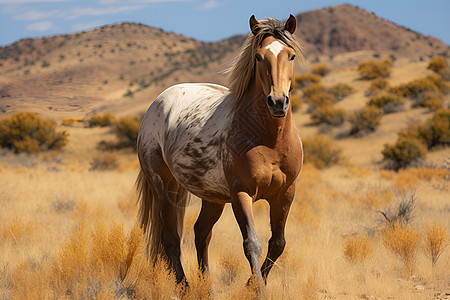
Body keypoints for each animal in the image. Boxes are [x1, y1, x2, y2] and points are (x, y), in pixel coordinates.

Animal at [135, 14, 304, 292]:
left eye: (290, 56)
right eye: (259, 57)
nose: (278, 102)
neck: (269, 141)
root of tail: (158, 102)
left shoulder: (285, 193)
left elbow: (278, 244)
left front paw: (251, 285)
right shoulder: (240, 194)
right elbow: (252, 244)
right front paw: (257, 290)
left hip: (212, 197)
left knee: (201, 233)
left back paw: (206, 288)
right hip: (163, 186)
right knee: (170, 237)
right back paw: (185, 287)